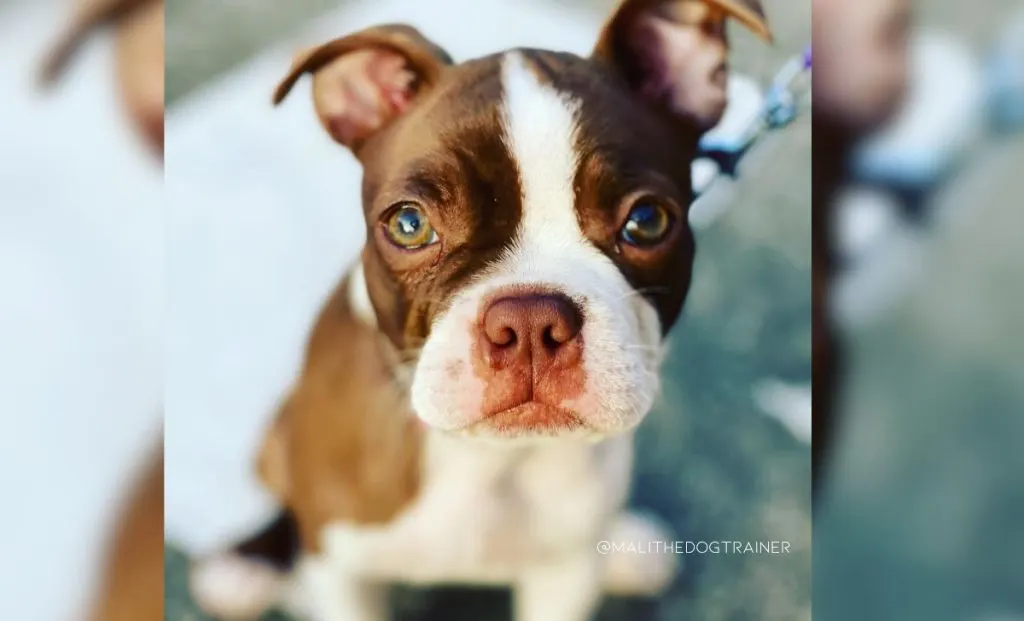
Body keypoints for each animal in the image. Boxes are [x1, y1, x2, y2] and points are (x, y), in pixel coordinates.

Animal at [190, 2, 770, 618]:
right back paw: (249, 562)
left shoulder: (564, 575)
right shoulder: (341, 574)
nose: (532, 321)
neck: (491, 463)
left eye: (647, 221)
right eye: (408, 224)